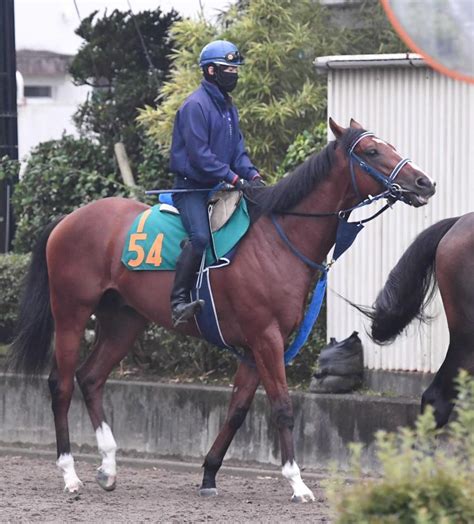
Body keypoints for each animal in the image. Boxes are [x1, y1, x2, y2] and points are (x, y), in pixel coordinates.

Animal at [9, 118, 436, 500]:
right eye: (371, 151)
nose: (423, 182)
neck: (278, 239)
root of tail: (68, 219)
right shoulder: (266, 339)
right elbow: (282, 406)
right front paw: (297, 483)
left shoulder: (254, 346)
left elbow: (237, 410)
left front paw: (209, 474)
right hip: (71, 312)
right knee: (62, 384)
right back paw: (70, 475)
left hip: (123, 321)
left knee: (92, 378)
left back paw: (109, 467)